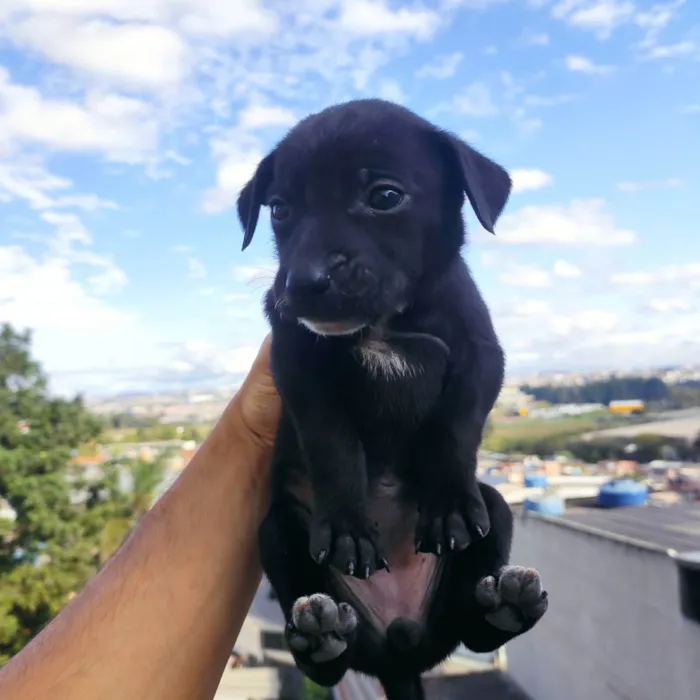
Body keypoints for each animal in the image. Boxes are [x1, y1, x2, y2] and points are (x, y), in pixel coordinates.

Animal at [238, 100, 544, 700]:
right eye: (280, 210)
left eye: (384, 196)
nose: (302, 283)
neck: (382, 324)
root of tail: (400, 643)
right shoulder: (297, 363)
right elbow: (332, 442)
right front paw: (347, 525)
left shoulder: (479, 355)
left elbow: (455, 425)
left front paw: (446, 502)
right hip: (280, 532)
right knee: (328, 663)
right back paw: (321, 635)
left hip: (492, 512)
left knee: (474, 630)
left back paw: (508, 606)